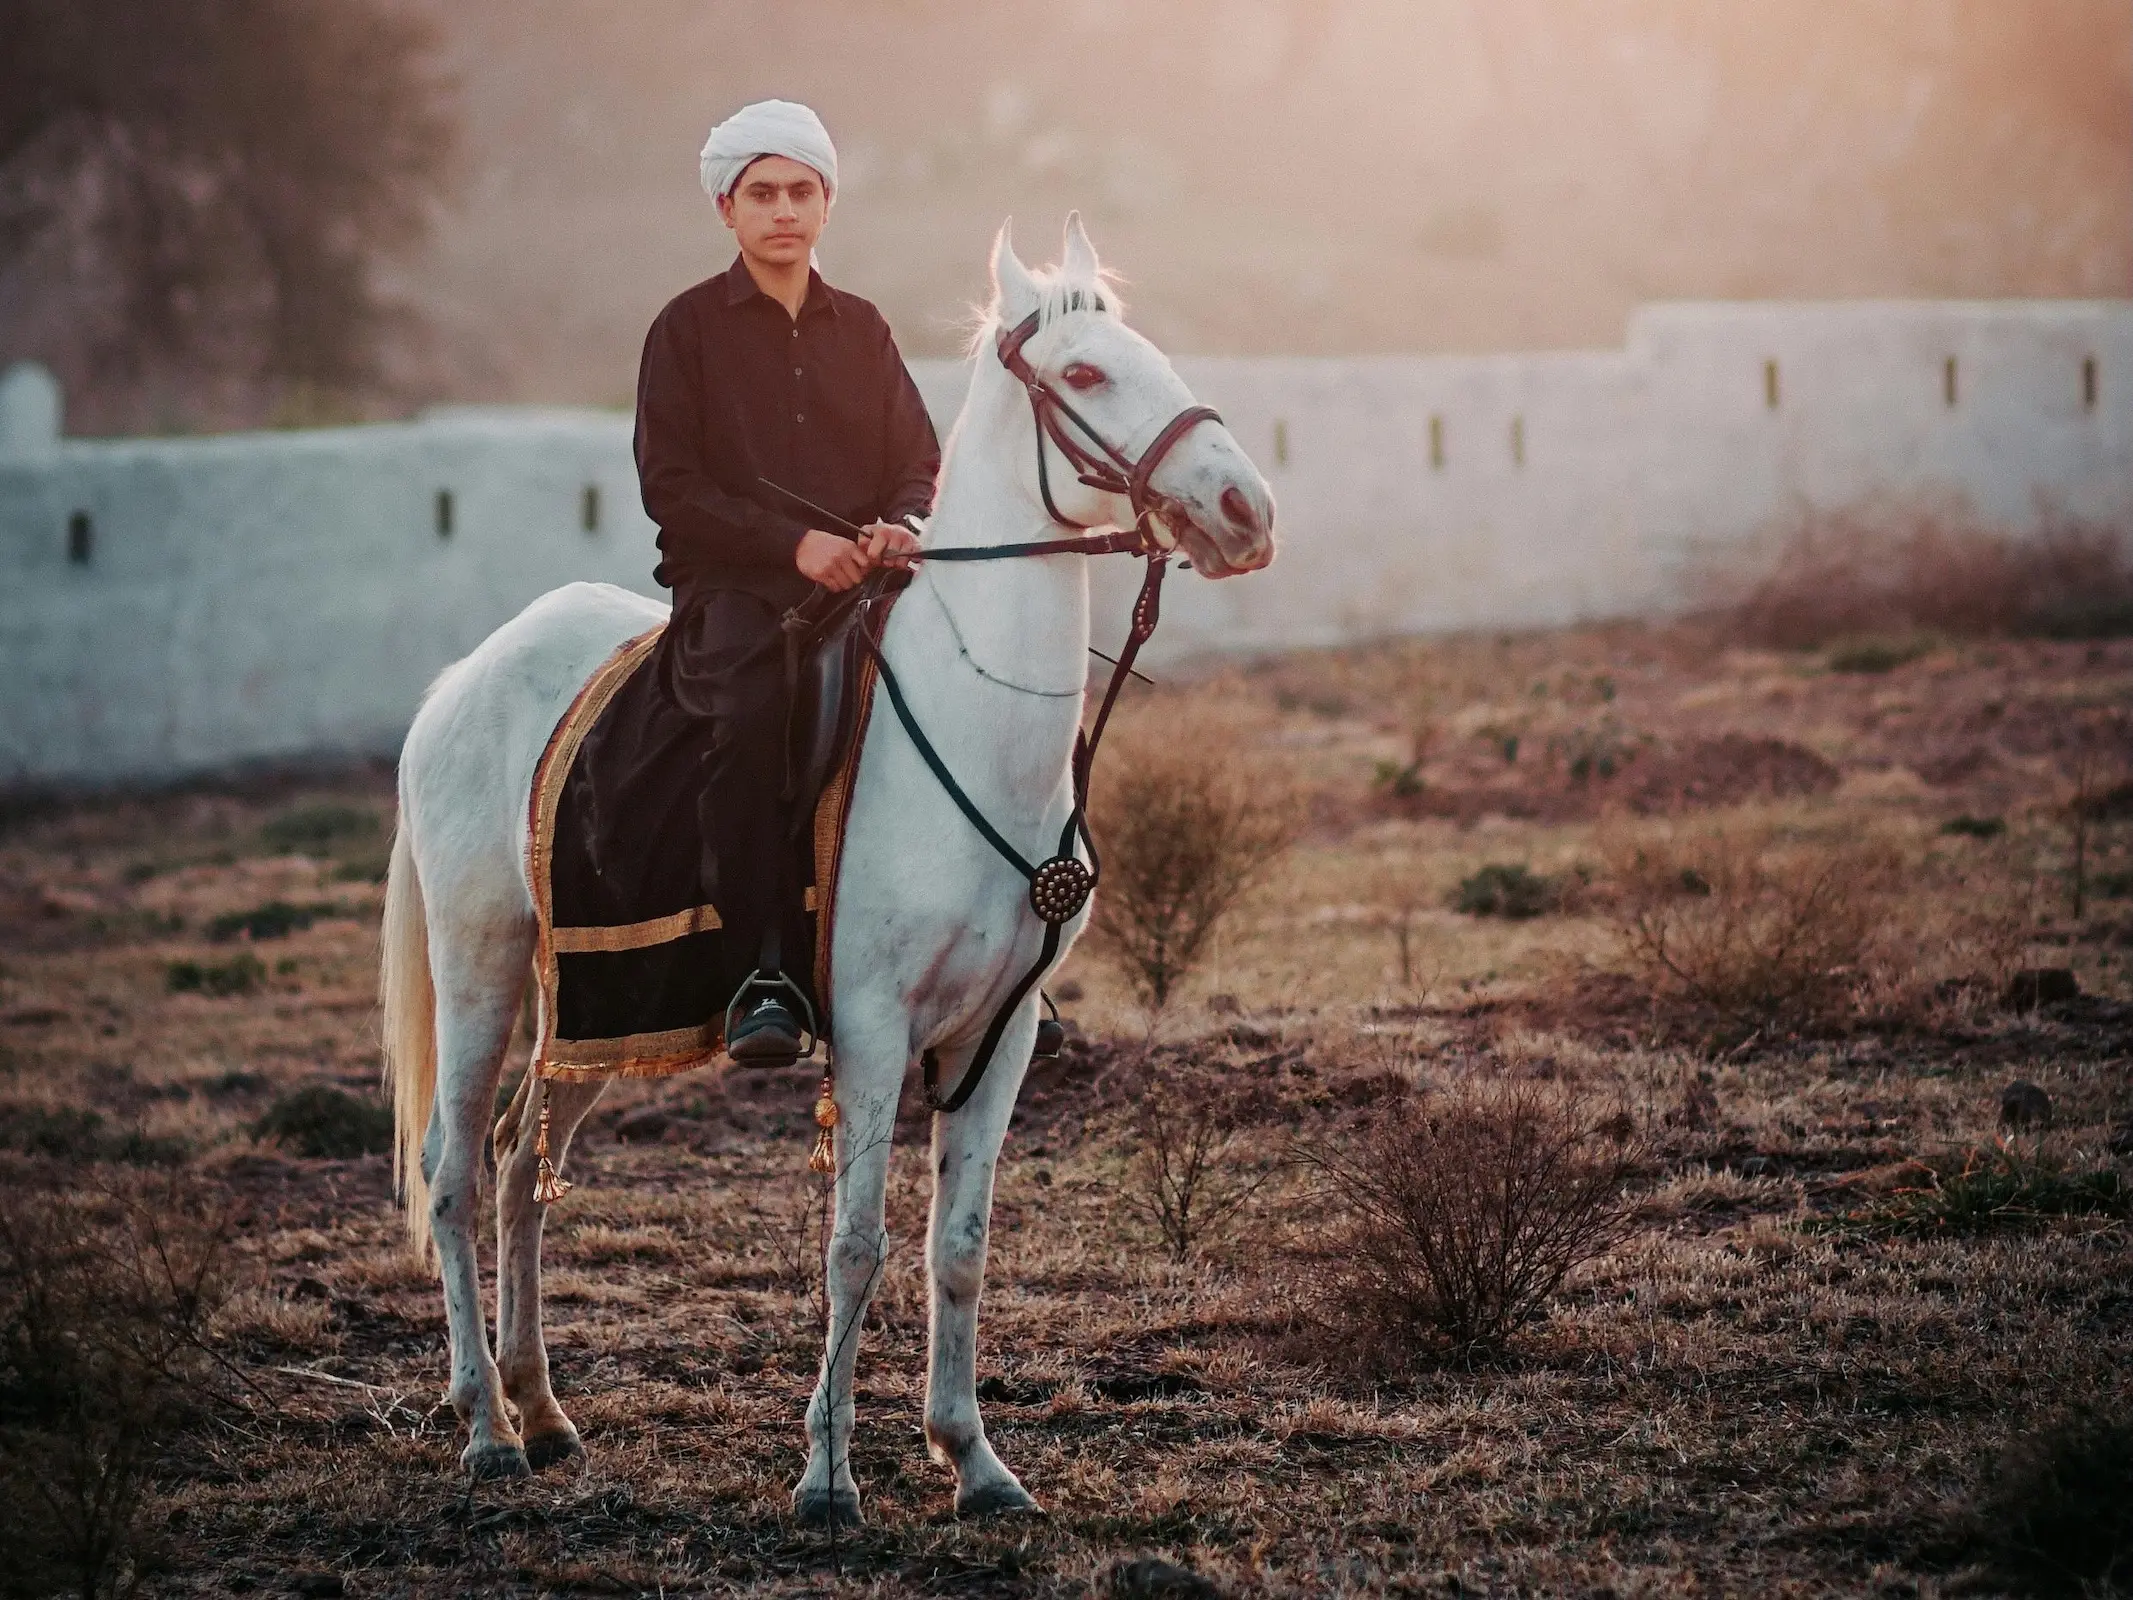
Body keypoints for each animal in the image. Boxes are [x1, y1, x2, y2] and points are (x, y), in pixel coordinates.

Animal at [380, 213, 1276, 1523]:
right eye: (1086, 372)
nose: (1245, 508)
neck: (970, 727)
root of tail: (464, 679)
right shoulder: (869, 1026)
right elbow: (853, 1244)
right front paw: (827, 1475)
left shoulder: (1000, 1033)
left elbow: (958, 1248)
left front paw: (975, 1460)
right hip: (483, 969)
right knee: (452, 1173)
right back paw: (484, 1424)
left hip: (592, 1012)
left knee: (517, 1167)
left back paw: (540, 1409)